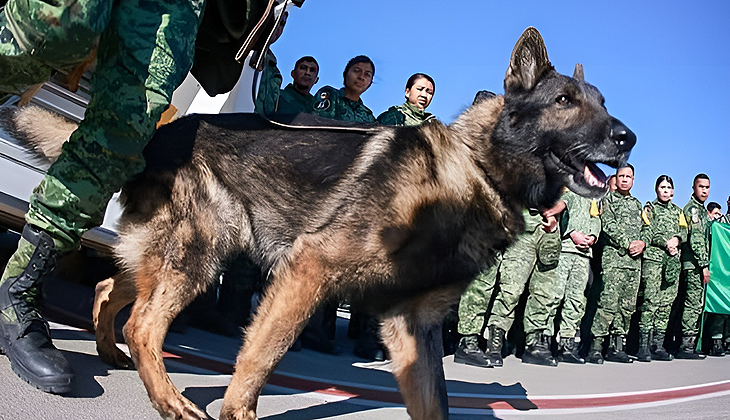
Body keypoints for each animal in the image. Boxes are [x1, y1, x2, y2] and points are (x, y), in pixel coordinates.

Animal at [1, 27, 632, 418]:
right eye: (565, 101)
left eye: (603, 103)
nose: (627, 138)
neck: (475, 169)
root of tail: (156, 136)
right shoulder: (309, 271)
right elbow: (262, 354)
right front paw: (238, 412)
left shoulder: (412, 329)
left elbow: (435, 405)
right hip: (202, 252)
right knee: (145, 324)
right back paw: (166, 398)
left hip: (175, 254)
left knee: (111, 285)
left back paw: (110, 352)